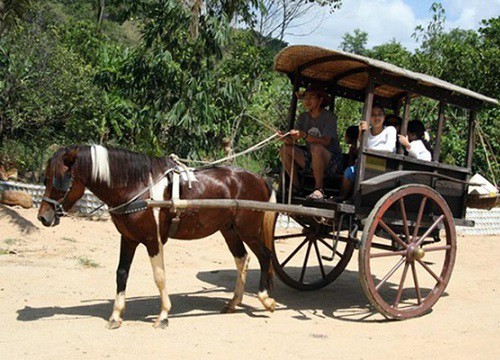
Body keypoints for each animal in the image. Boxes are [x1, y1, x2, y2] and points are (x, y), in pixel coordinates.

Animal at [38, 144, 278, 330]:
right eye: (45, 178)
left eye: (60, 180)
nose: (43, 217)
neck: (138, 188)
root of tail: (259, 178)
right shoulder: (128, 239)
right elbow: (121, 274)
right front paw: (115, 316)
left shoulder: (153, 240)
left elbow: (159, 276)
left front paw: (163, 316)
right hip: (229, 230)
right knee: (242, 259)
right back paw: (233, 302)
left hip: (248, 229)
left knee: (265, 256)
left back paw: (266, 300)